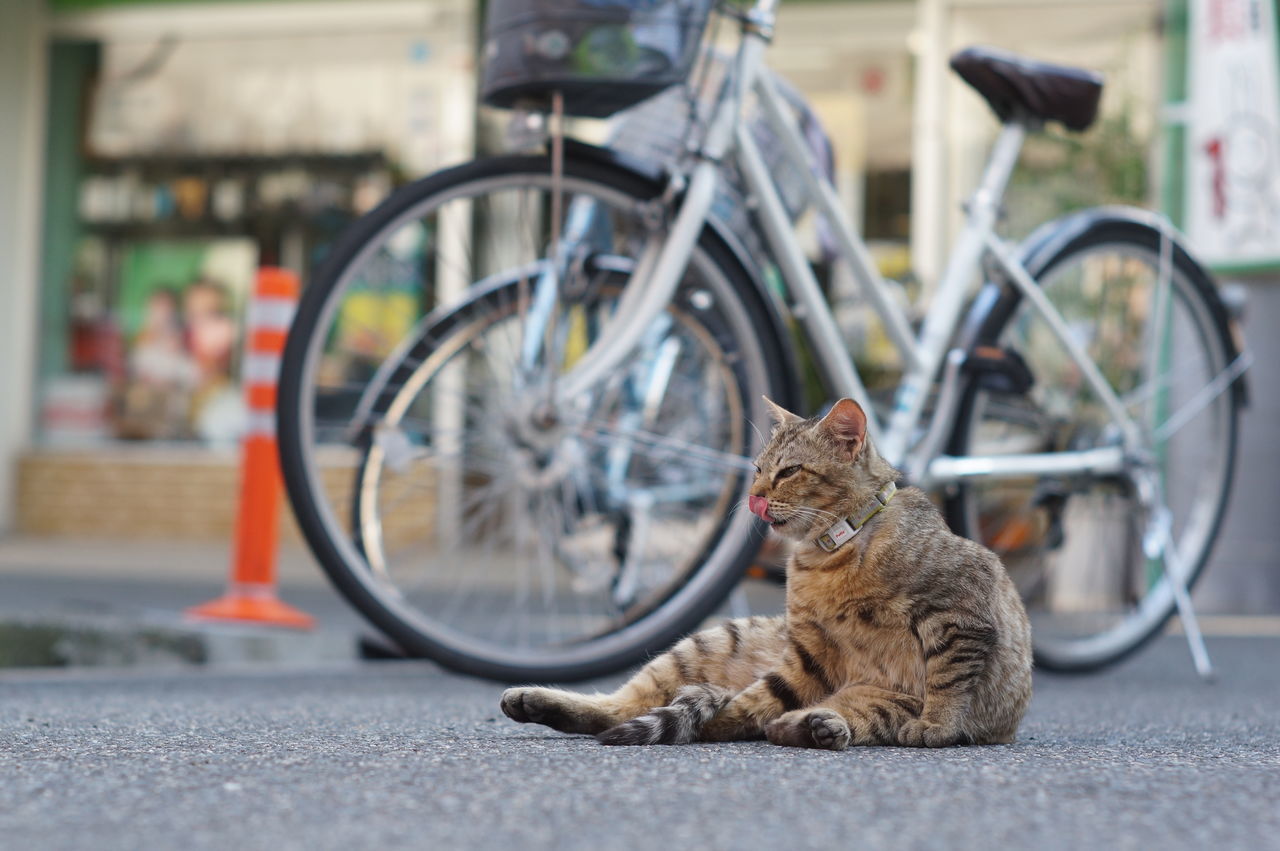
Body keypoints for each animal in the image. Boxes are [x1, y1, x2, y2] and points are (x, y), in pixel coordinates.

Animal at [496, 394, 1029, 747]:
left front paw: (938, 726)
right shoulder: (809, 654)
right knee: (628, 707)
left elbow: (948, 682)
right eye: (757, 468)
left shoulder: (959, 619)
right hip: (707, 643)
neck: (829, 552)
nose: (753, 495)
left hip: (883, 698)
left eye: (789, 471)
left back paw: (814, 726)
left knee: (836, 720)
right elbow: (750, 699)